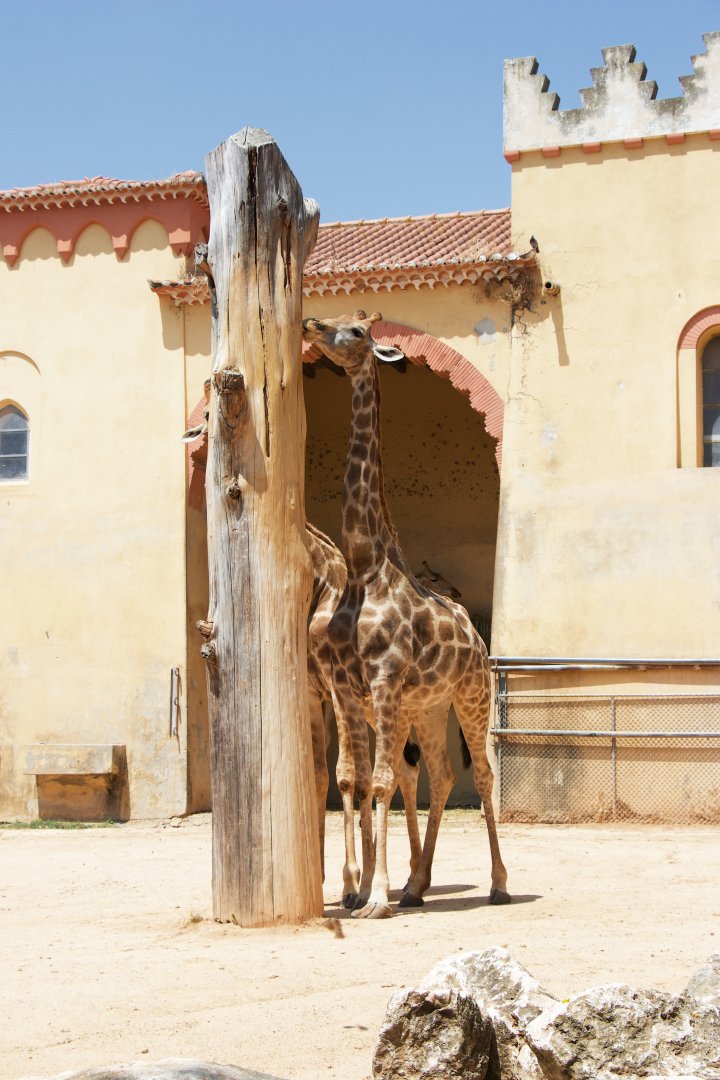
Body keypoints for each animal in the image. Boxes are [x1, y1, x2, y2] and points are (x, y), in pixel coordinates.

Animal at [302, 309, 510, 918]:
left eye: (356, 332)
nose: (310, 323)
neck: (363, 565)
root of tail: (479, 640)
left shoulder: (383, 678)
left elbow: (380, 783)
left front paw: (372, 897)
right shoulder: (348, 688)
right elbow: (356, 780)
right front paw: (365, 890)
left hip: (470, 697)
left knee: (481, 775)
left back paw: (499, 883)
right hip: (430, 707)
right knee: (439, 775)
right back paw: (417, 886)